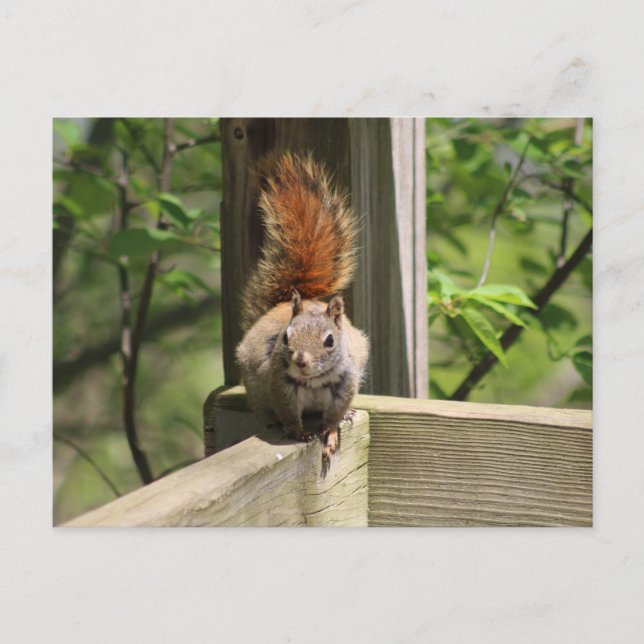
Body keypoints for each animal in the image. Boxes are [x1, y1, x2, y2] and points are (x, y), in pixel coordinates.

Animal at [236, 152, 369, 461]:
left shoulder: (345, 384)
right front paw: (297, 430)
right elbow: (288, 412)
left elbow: (333, 416)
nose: (300, 361)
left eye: (330, 340)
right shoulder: (279, 384)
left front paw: (330, 432)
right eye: (285, 338)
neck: (314, 380)